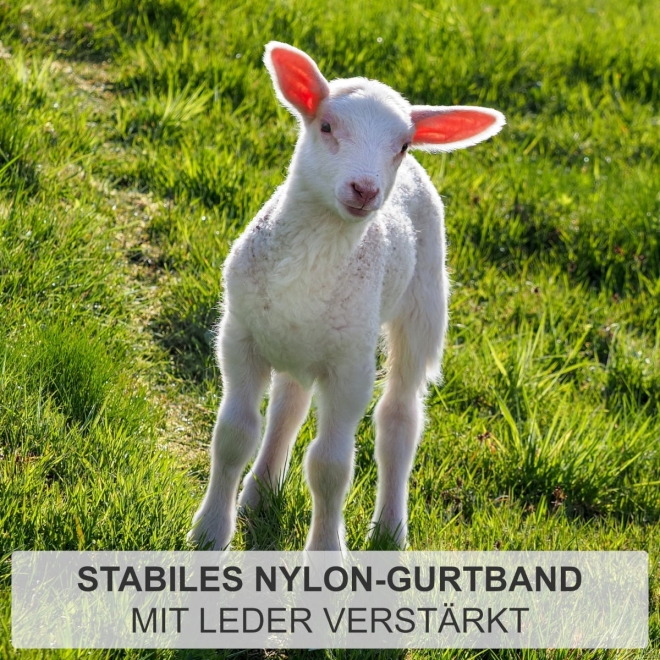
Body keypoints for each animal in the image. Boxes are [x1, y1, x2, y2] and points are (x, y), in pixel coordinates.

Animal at [188, 41, 505, 552]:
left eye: (402, 145)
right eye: (326, 126)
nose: (365, 189)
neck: (311, 265)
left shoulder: (350, 368)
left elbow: (330, 467)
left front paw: (324, 551)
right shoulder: (239, 339)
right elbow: (234, 435)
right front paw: (210, 533)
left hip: (424, 304)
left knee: (398, 417)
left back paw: (390, 530)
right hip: (298, 343)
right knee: (289, 403)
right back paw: (260, 492)